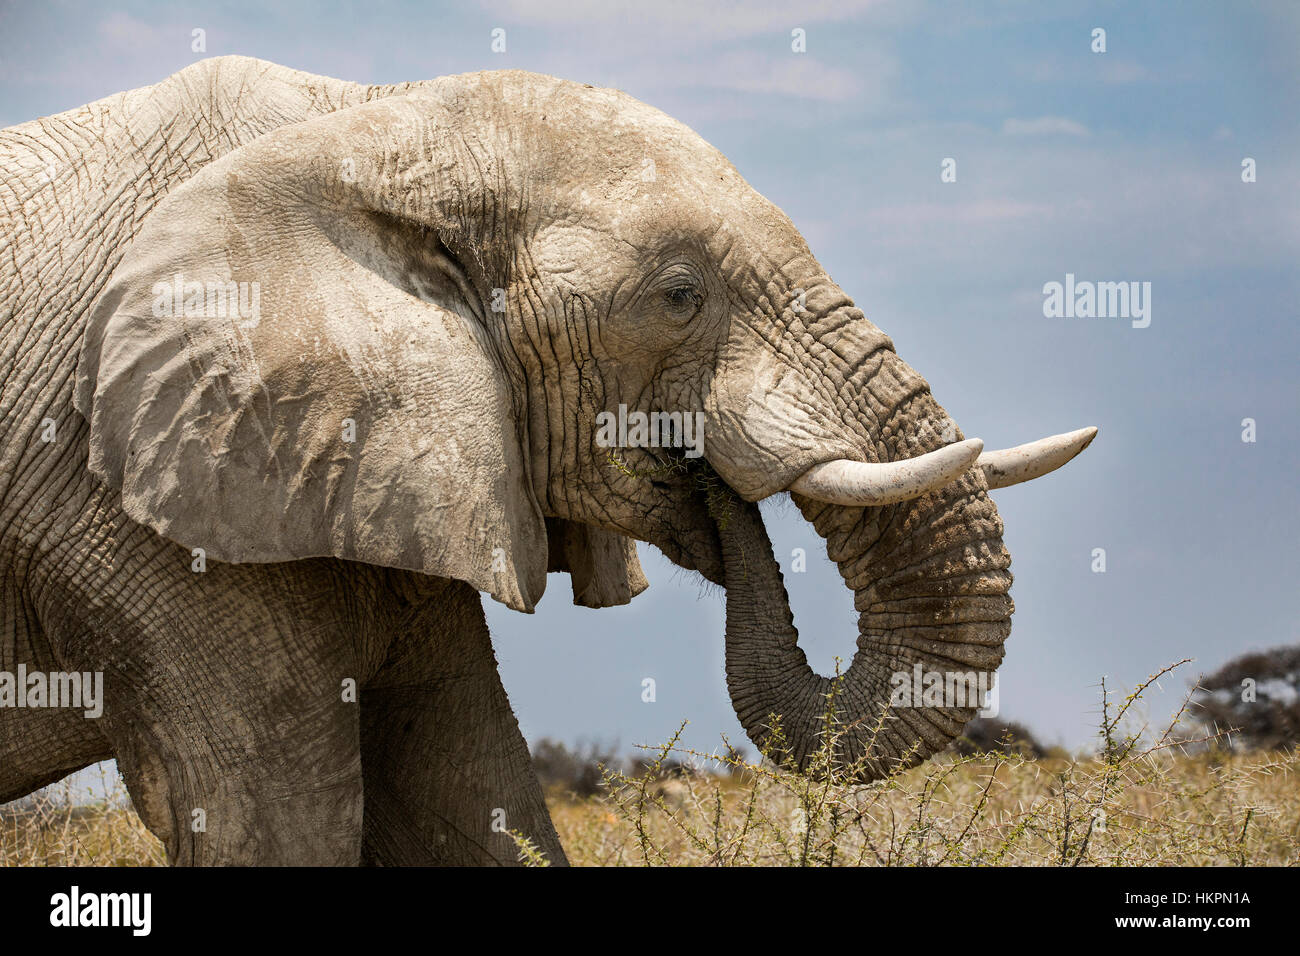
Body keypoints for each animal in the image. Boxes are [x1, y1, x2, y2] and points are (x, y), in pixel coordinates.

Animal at [0, 56, 1095, 865]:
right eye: (679, 296)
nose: (705, 479)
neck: (373, 124)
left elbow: (468, 792)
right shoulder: (141, 511)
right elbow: (272, 818)